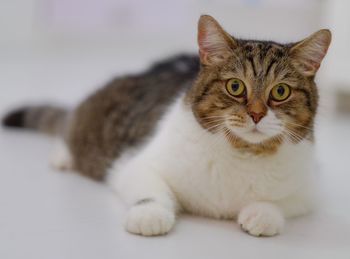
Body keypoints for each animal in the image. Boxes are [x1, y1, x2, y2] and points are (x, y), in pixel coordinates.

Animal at [2, 14, 330, 238]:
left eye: (280, 92)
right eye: (235, 86)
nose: (257, 114)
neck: (242, 152)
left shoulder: (310, 188)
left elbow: (281, 202)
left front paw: (262, 214)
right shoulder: (135, 163)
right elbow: (151, 190)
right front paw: (150, 214)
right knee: (68, 125)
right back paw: (62, 155)